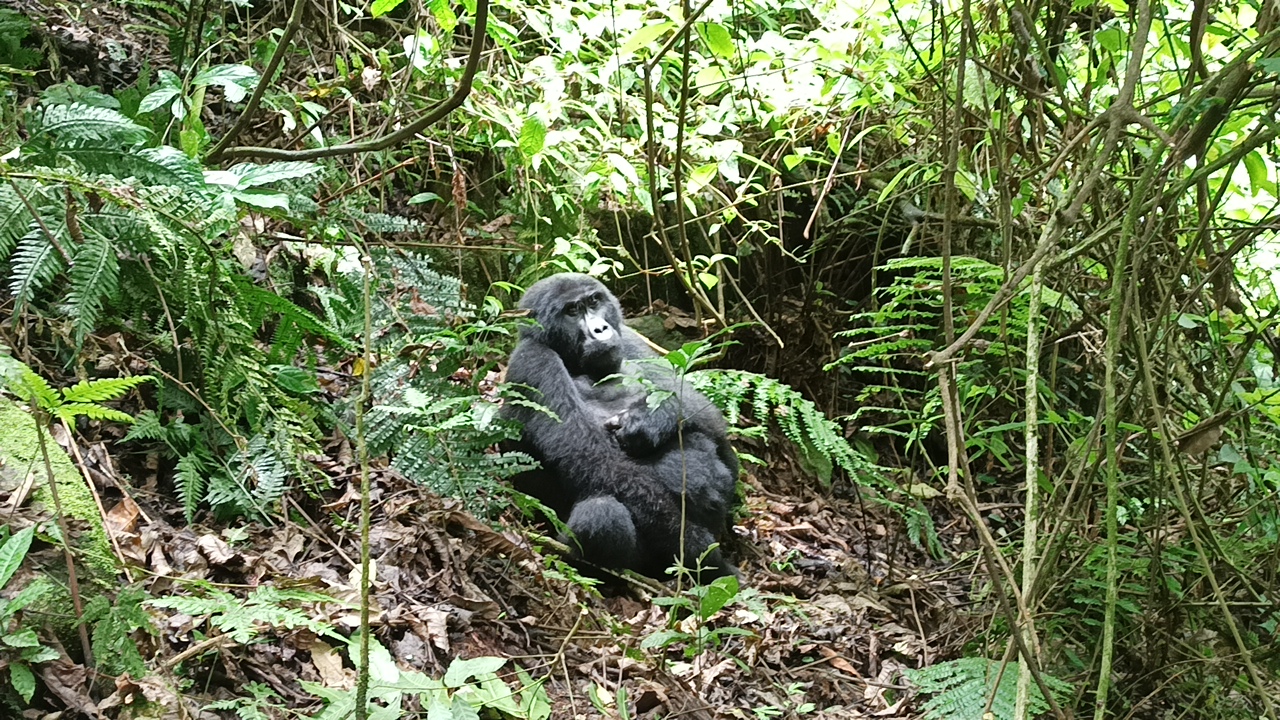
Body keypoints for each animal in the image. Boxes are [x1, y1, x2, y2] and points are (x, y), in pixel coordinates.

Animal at [501, 271, 742, 579]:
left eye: (594, 301)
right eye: (572, 311)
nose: (600, 329)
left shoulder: (631, 339)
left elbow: (700, 409)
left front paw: (648, 420)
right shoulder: (533, 360)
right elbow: (602, 466)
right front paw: (703, 554)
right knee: (601, 515)